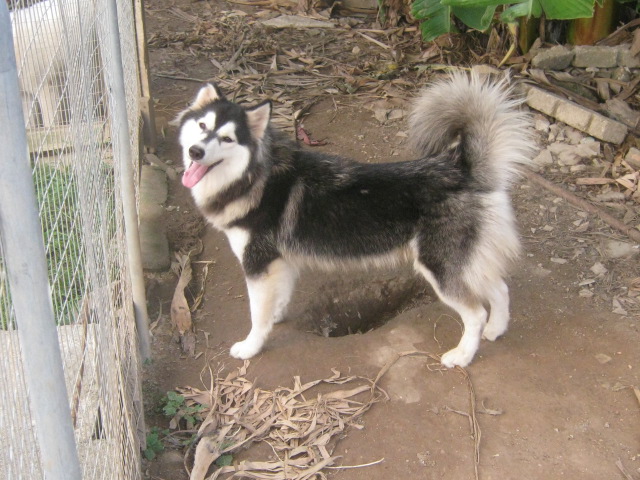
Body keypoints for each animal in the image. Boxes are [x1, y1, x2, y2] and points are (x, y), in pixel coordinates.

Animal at [174, 73, 534, 368]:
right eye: (203, 126)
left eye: (227, 139)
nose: (195, 152)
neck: (252, 176)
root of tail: (462, 168)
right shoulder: (280, 261)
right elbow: (278, 298)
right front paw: (275, 315)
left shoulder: (257, 263)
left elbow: (256, 314)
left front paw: (251, 346)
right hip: (464, 261)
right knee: (499, 288)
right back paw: (496, 329)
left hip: (439, 268)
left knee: (476, 311)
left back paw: (462, 355)